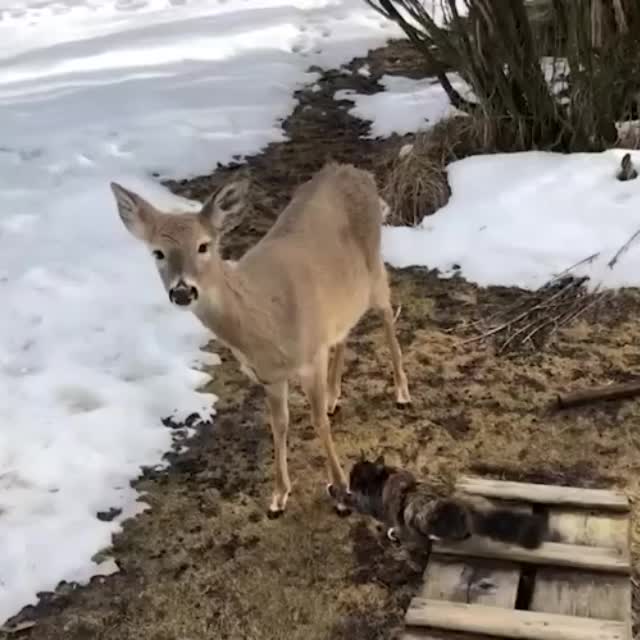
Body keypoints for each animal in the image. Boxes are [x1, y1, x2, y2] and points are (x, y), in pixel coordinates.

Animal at [109, 164, 410, 520]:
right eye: (158, 253)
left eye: (204, 246)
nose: (182, 291)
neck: (263, 320)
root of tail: (356, 171)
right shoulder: (269, 376)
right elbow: (279, 425)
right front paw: (279, 497)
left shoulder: (311, 357)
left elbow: (318, 422)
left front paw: (340, 493)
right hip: (343, 297)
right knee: (345, 330)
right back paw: (335, 395)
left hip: (375, 265)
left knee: (387, 314)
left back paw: (402, 392)